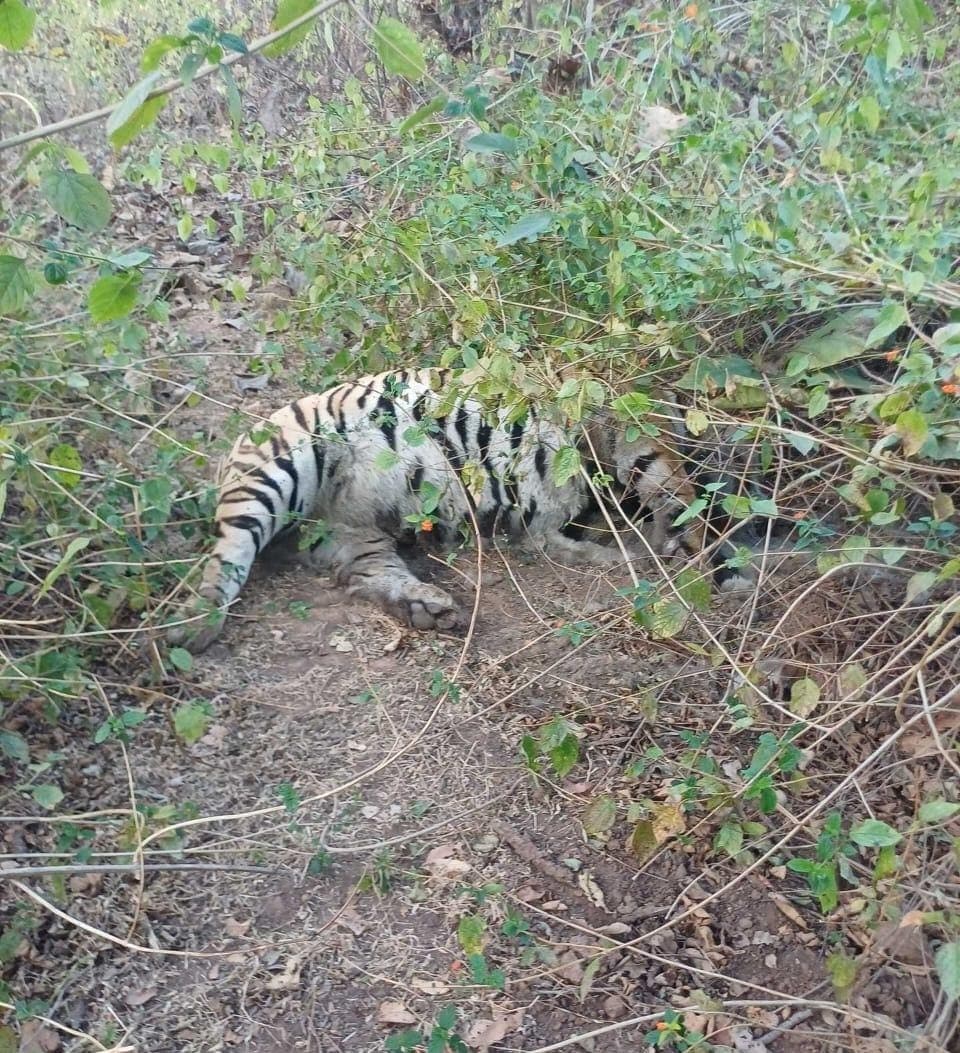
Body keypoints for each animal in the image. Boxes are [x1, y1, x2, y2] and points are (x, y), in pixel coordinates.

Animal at [167, 367, 749, 652]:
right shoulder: (621, 444)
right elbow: (673, 502)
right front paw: (688, 551)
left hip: (355, 533)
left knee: (364, 575)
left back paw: (428, 608)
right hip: (279, 470)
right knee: (228, 555)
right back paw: (187, 628)